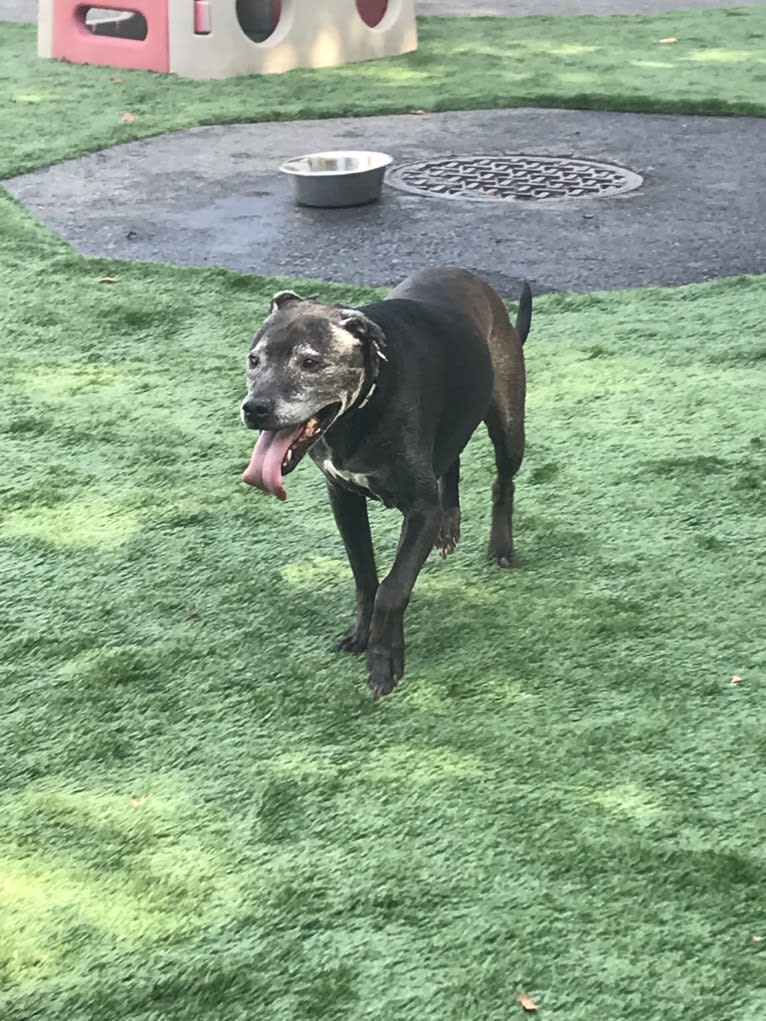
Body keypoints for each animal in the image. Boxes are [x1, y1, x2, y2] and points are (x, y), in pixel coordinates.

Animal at [243, 263, 531, 698]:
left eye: (310, 362)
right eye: (254, 359)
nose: (254, 408)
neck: (364, 405)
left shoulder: (420, 510)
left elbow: (393, 588)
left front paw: (384, 662)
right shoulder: (343, 498)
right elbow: (365, 575)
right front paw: (362, 636)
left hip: (509, 426)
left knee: (503, 483)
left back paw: (500, 545)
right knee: (451, 462)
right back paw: (450, 524)